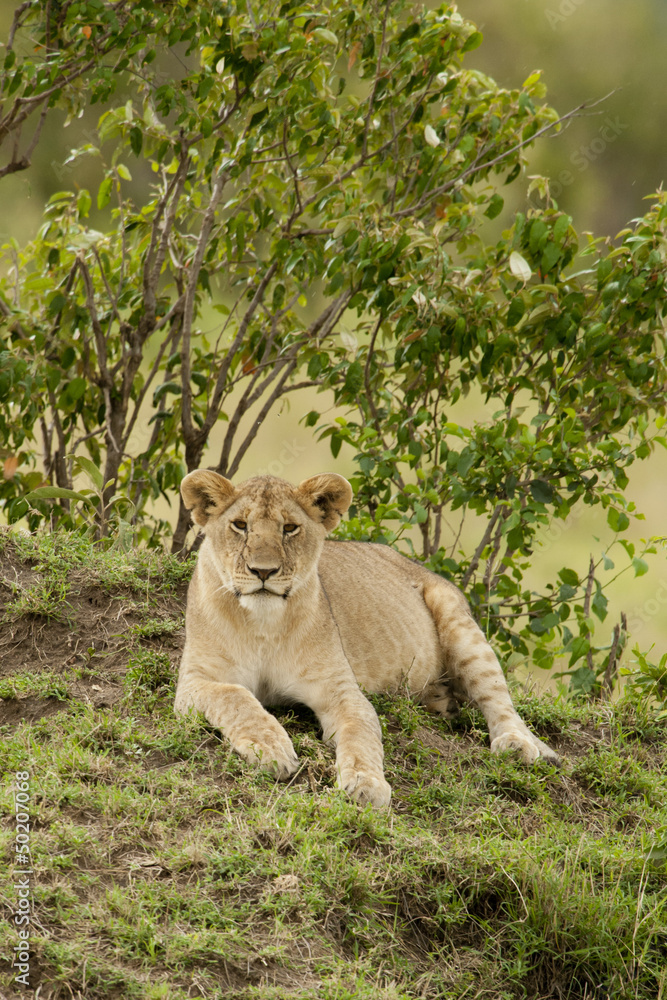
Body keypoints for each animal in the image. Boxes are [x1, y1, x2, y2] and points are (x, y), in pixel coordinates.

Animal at [174, 470, 559, 807]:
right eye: (240, 525)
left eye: (290, 528)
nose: (263, 571)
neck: (263, 626)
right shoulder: (194, 683)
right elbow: (235, 696)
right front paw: (271, 748)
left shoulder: (340, 690)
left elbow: (361, 736)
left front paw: (367, 784)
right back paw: (442, 703)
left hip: (460, 623)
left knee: (500, 701)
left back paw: (518, 744)